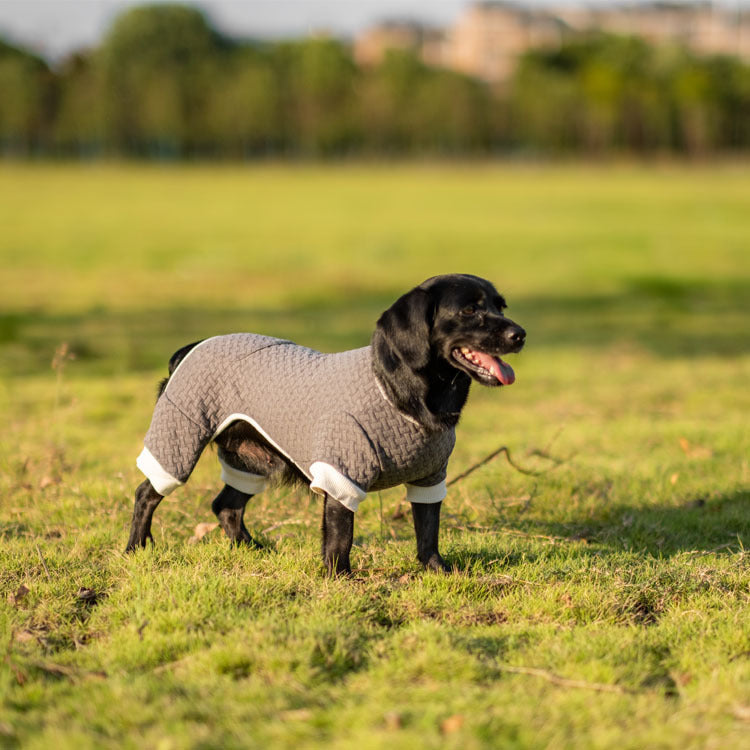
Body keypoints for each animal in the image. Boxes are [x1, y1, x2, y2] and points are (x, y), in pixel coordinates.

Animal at [126, 276, 524, 576]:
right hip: (179, 438)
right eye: (469, 310)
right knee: (147, 493)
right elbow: (340, 535)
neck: (396, 390)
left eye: (500, 306)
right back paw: (136, 548)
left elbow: (428, 532)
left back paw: (252, 549)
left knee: (226, 505)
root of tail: (188, 349)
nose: (520, 334)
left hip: (252, 461)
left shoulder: (430, 478)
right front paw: (340, 577)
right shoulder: (341, 472)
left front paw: (437, 571)